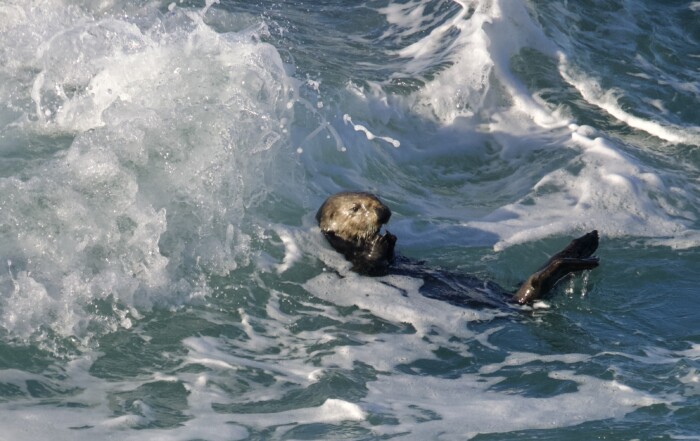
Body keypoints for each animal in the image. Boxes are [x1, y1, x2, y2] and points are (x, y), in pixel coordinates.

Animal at [318, 191, 596, 304]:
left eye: (376, 198)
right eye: (355, 208)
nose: (383, 212)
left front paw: (390, 239)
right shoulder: (352, 258)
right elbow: (369, 266)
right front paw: (379, 242)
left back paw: (588, 243)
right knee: (536, 283)